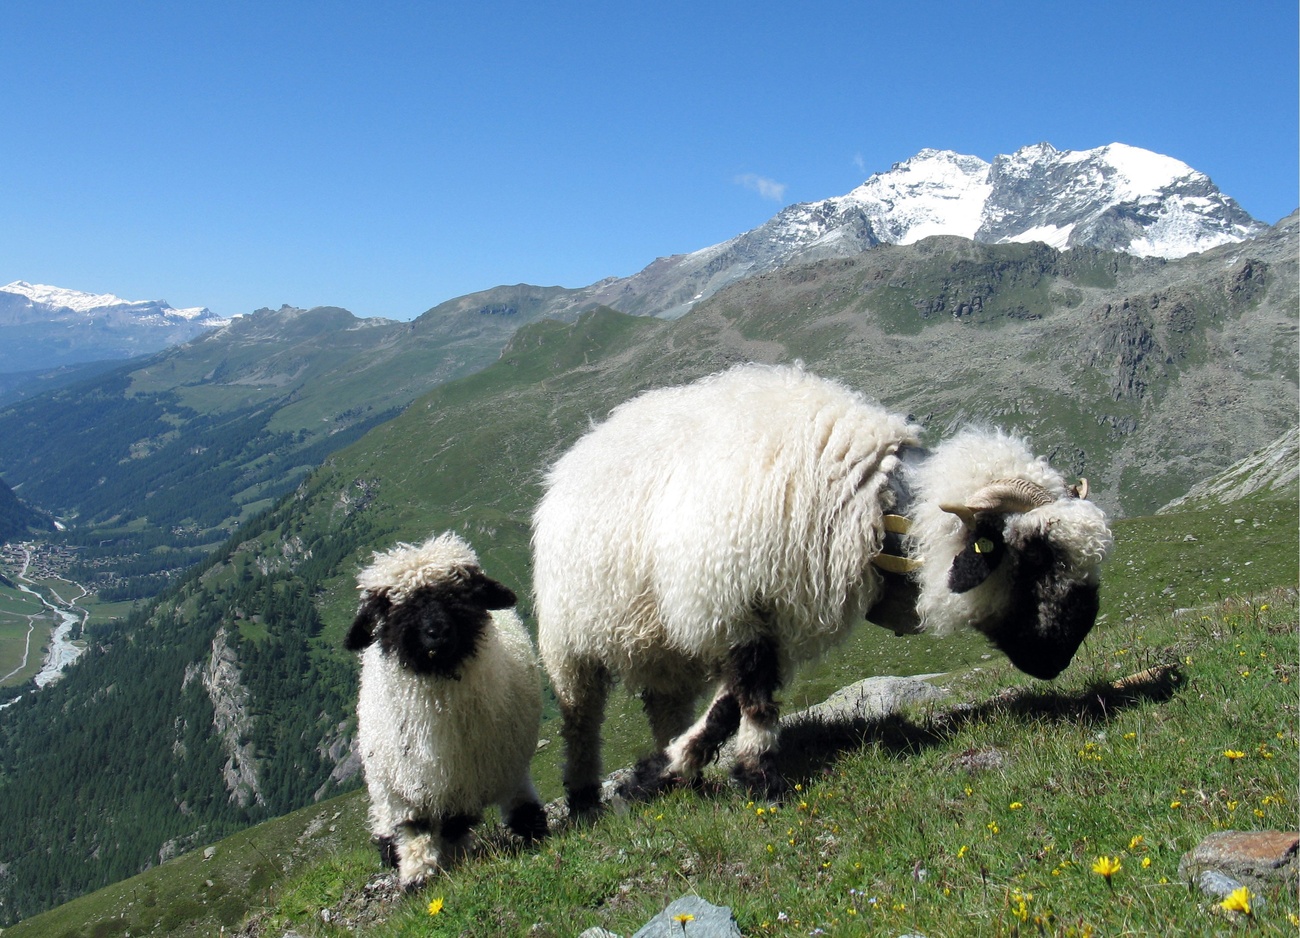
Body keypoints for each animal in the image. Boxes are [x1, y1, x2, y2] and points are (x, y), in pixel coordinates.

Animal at [345, 532, 547, 888]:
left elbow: (455, 824)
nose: (437, 633)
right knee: (387, 818)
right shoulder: (408, 785)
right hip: (384, 778)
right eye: (392, 605)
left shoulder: (467, 780)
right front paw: (417, 876)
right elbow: (414, 829)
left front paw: (454, 860)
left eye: (459, 592)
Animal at [532, 362, 1111, 814]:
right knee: (580, 720)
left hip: (662, 648)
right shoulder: (734, 602)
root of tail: (584, 446)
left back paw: (676, 773)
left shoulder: (768, 615)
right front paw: (761, 779)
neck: (871, 502)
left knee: (664, 706)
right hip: (569, 641)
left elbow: (727, 707)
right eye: (1035, 554)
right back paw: (583, 798)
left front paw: (673, 766)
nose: (1065, 652)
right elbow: (753, 698)